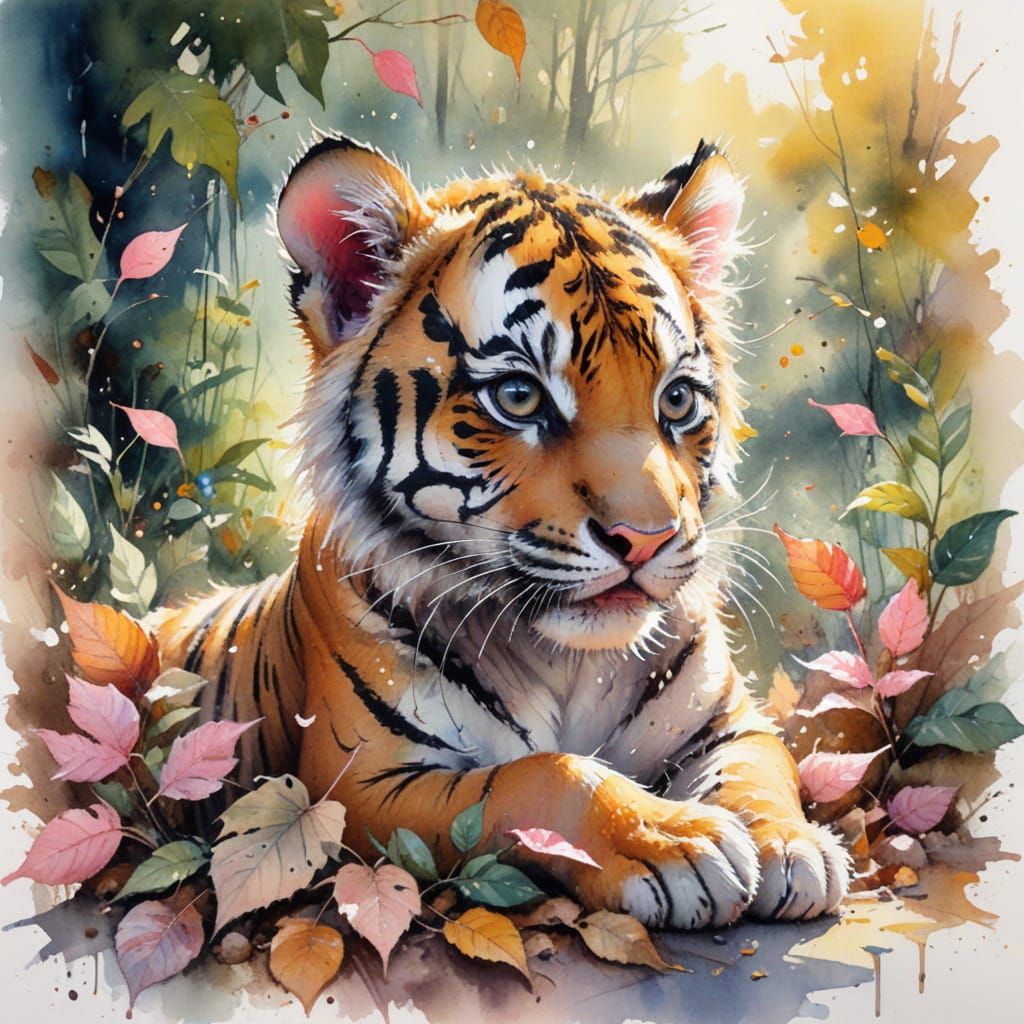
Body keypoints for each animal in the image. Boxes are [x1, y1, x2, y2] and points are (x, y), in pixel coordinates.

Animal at [154, 132, 850, 930]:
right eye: (519, 396)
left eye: (676, 400)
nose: (645, 539)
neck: (569, 661)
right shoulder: (356, 788)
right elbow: (543, 777)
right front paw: (677, 842)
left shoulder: (733, 724)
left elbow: (764, 773)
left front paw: (793, 847)